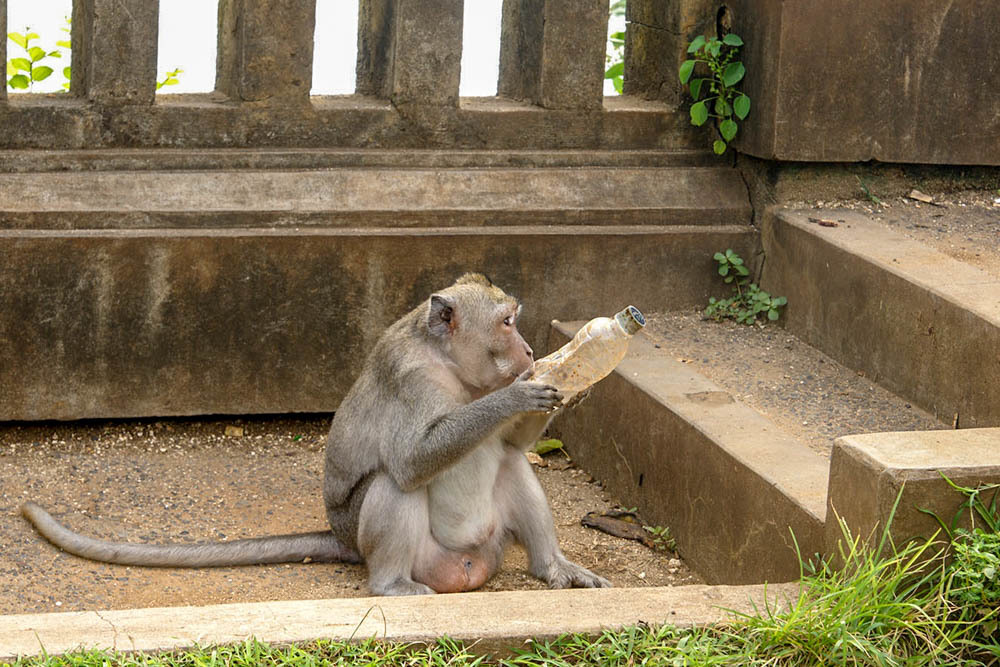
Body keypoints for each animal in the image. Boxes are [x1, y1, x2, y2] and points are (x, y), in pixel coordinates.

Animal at [23, 274, 612, 596]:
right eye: (507, 322)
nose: (531, 351)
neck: (450, 365)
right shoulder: (410, 378)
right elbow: (410, 460)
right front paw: (517, 394)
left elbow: (512, 448)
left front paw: (569, 388)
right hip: (392, 546)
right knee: (392, 484)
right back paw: (391, 585)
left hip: (488, 543)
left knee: (512, 467)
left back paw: (554, 568)